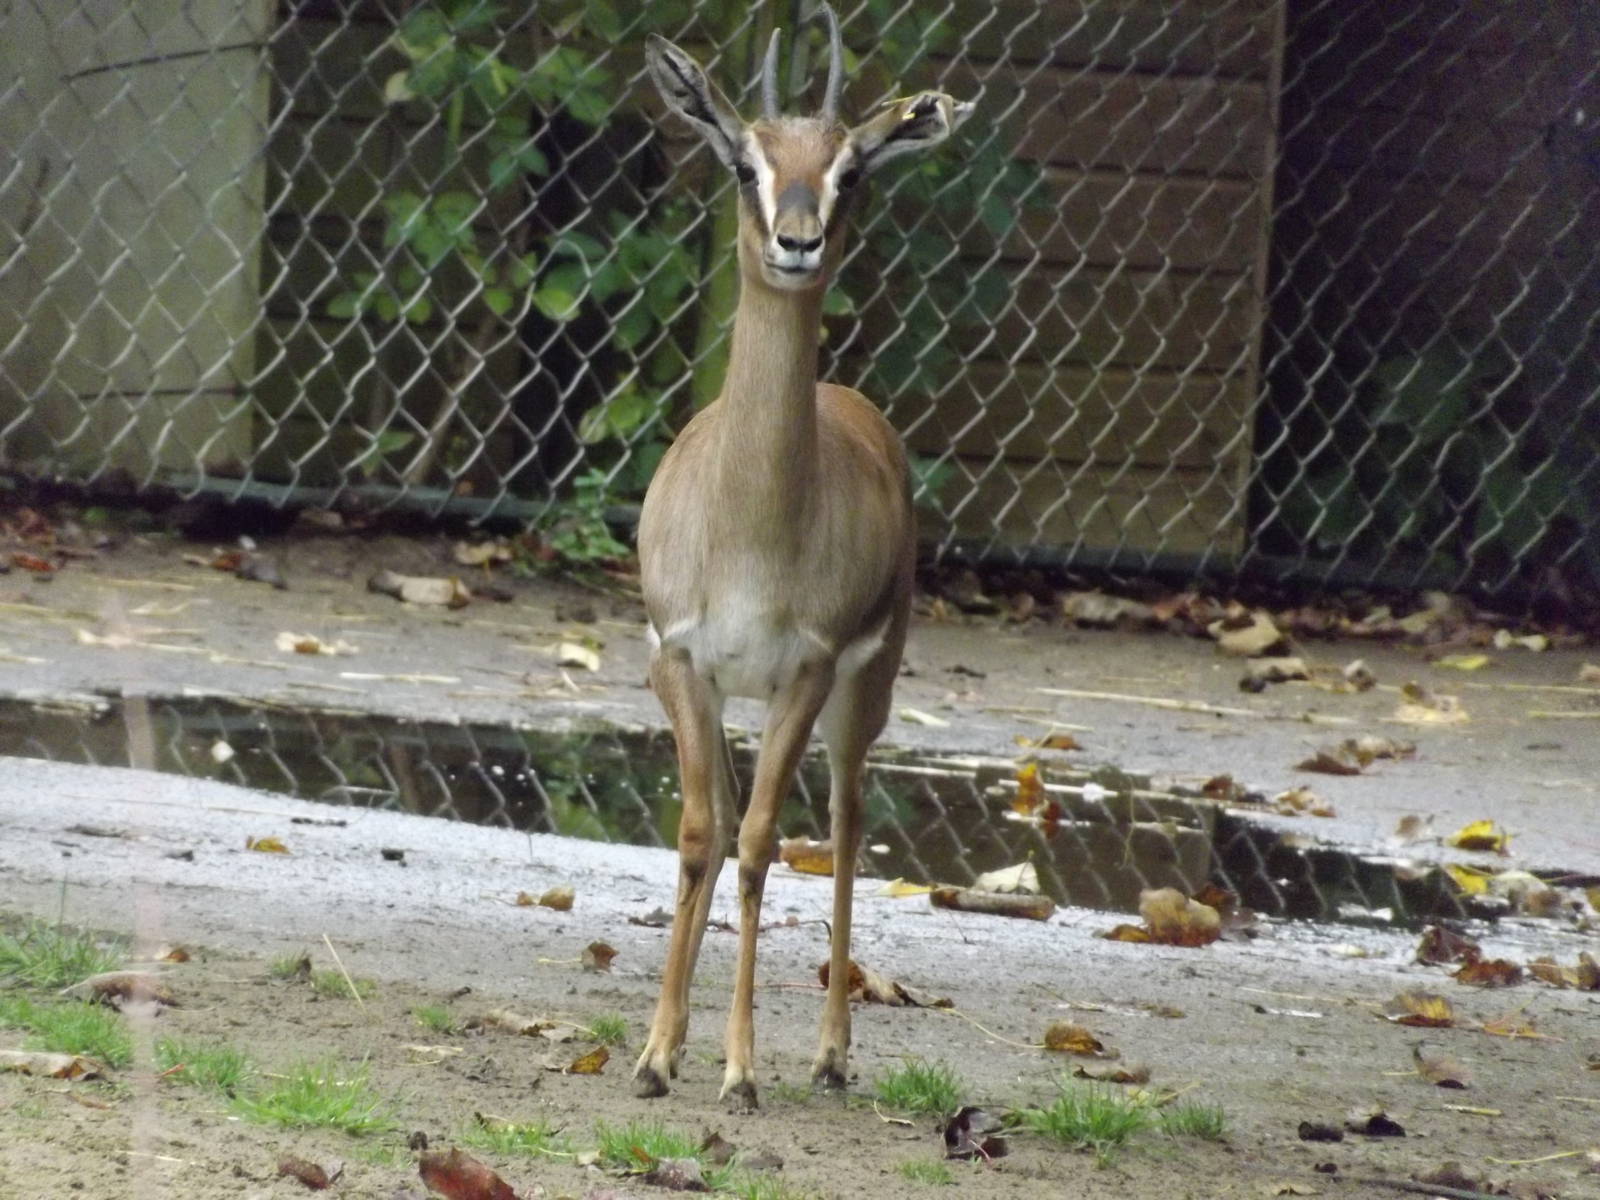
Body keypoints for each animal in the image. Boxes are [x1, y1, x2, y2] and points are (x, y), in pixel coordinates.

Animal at [635, 8, 972, 1111]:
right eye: (745, 162)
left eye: (848, 171)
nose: (797, 242)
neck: (750, 530)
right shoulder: (682, 663)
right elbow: (702, 838)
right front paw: (657, 1055)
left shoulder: (808, 671)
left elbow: (759, 847)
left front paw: (741, 1071)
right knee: (735, 826)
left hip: (864, 690)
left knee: (844, 818)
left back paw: (828, 1053)